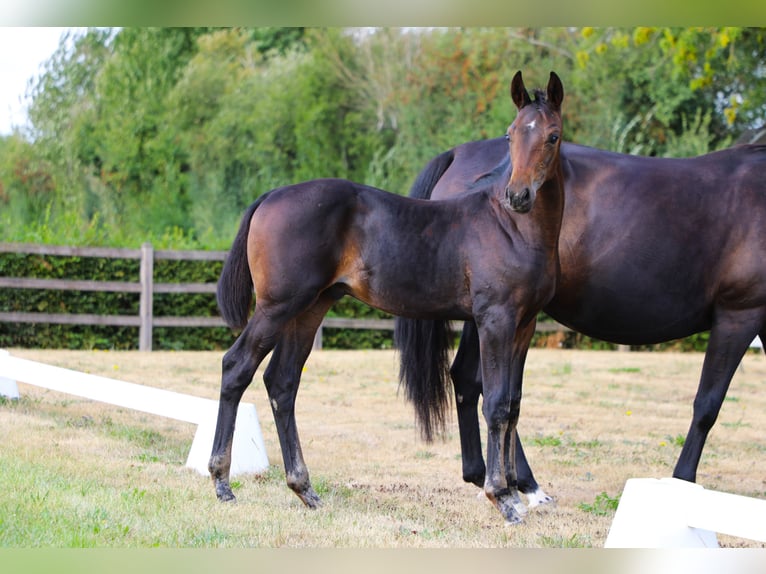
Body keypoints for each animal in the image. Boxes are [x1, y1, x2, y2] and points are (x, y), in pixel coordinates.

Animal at [208, 71, 566, 525]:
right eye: (510, 134)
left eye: (552, 136)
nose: (518, 196)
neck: (511, 229)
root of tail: (270, 195)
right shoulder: (495, 321)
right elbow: (497, 403)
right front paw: (502, 497)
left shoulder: (525, 325)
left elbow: (514, 403)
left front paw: (516, 493)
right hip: (277, 306)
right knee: (237, 367)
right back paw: (222, 481)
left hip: (310, 308)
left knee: (282, 382)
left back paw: (304, 488)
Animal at [395, 103, 766, 512]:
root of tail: (458, 154)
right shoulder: (739, 315)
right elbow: (707, 405)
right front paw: (682, 482)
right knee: (477, 383)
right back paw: (523, 485)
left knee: (469, 380)